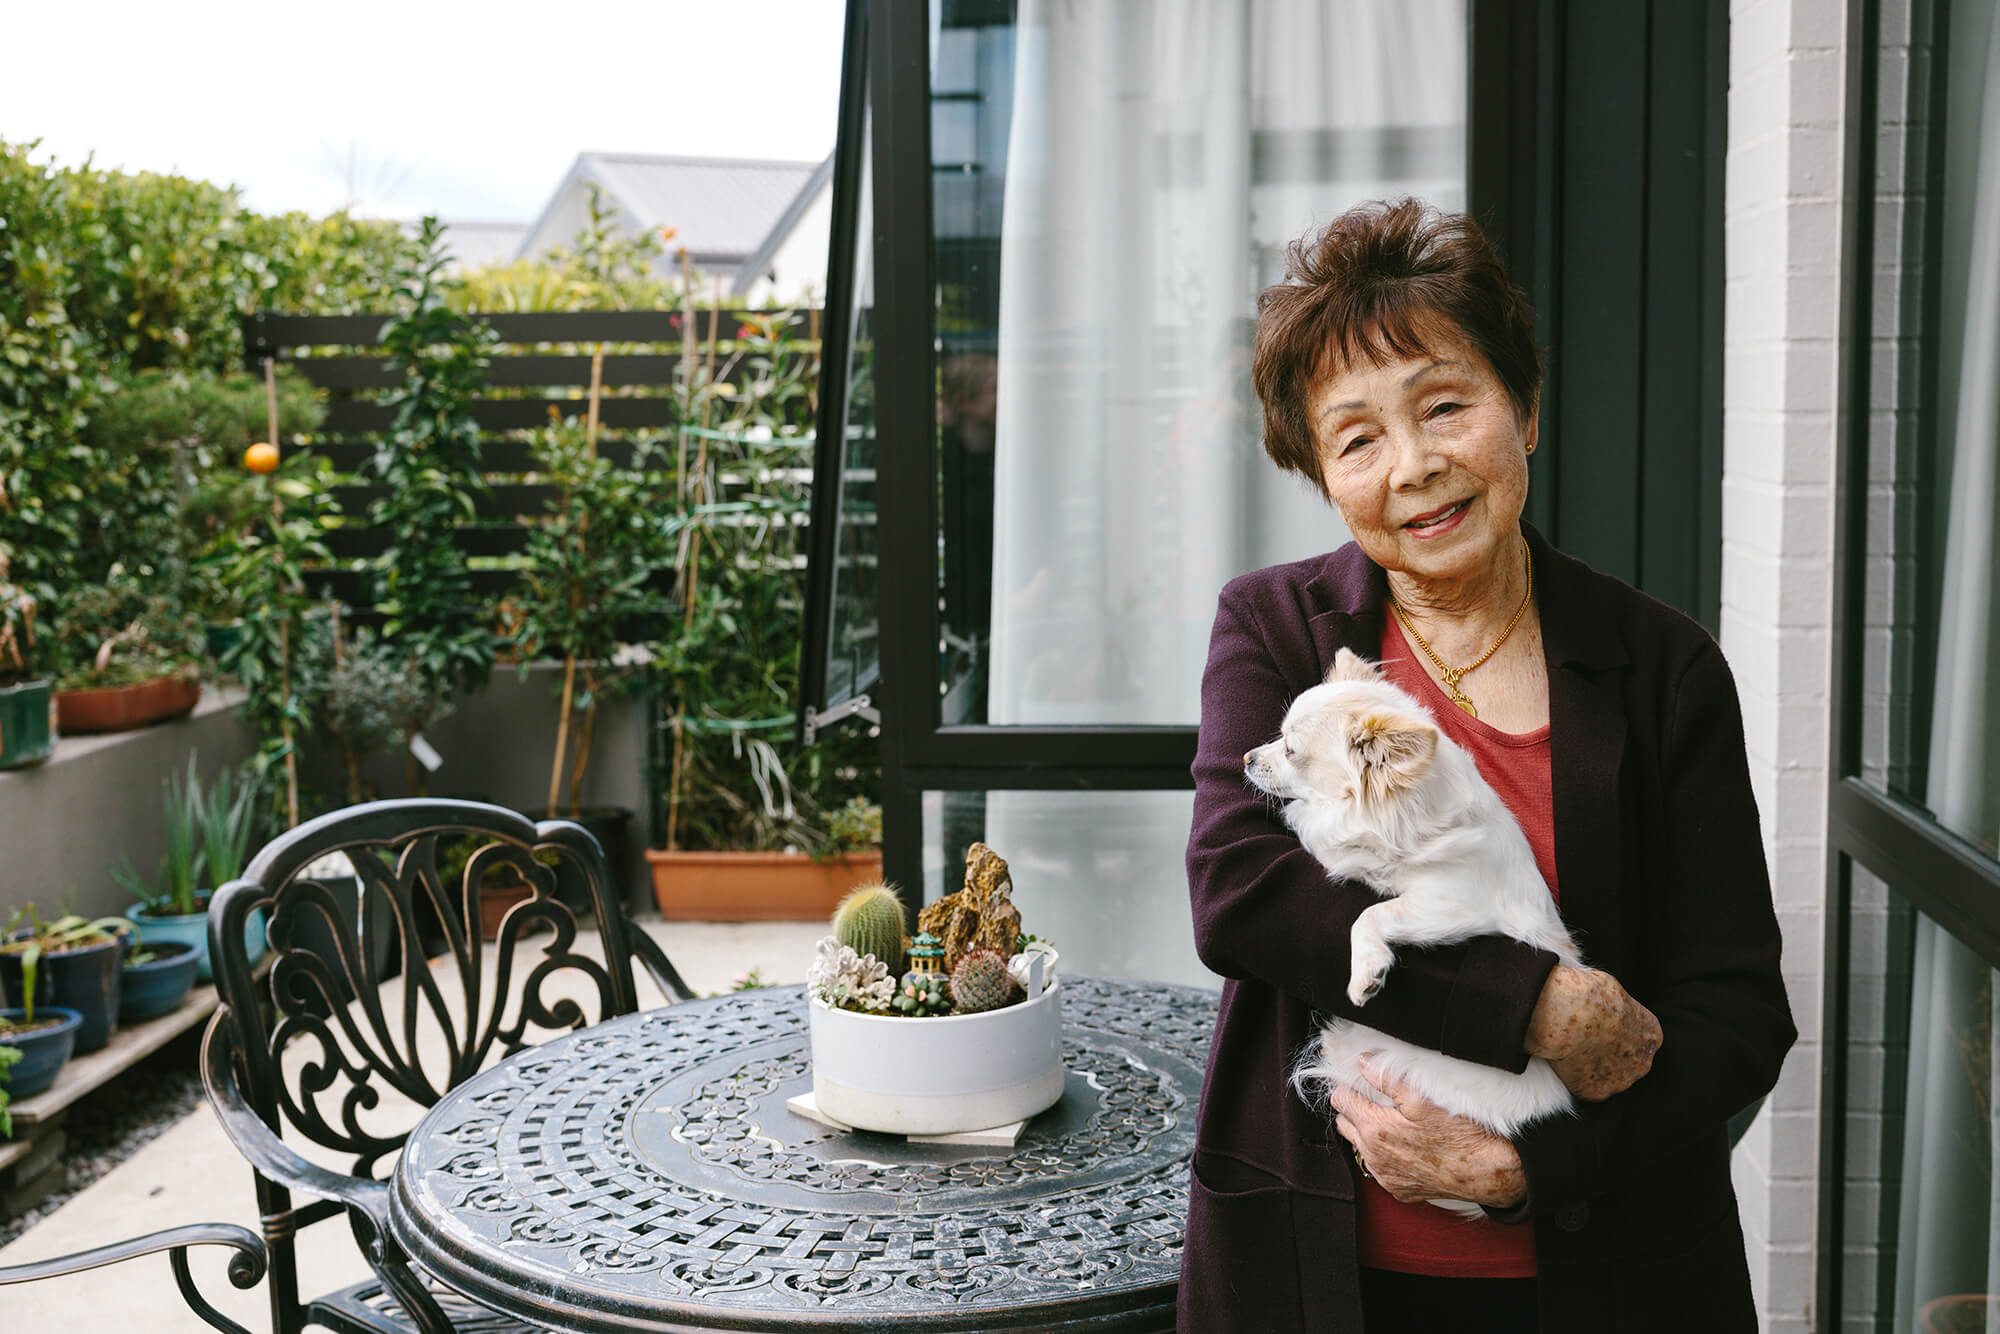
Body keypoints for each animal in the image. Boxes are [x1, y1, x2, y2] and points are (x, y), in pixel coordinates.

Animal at [1240, 652, 1584, 1216]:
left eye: (1290, 750)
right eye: (1276, 737)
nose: (1246, 757)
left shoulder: (1453, 902)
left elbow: (1371, 915)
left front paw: (1367, 973)